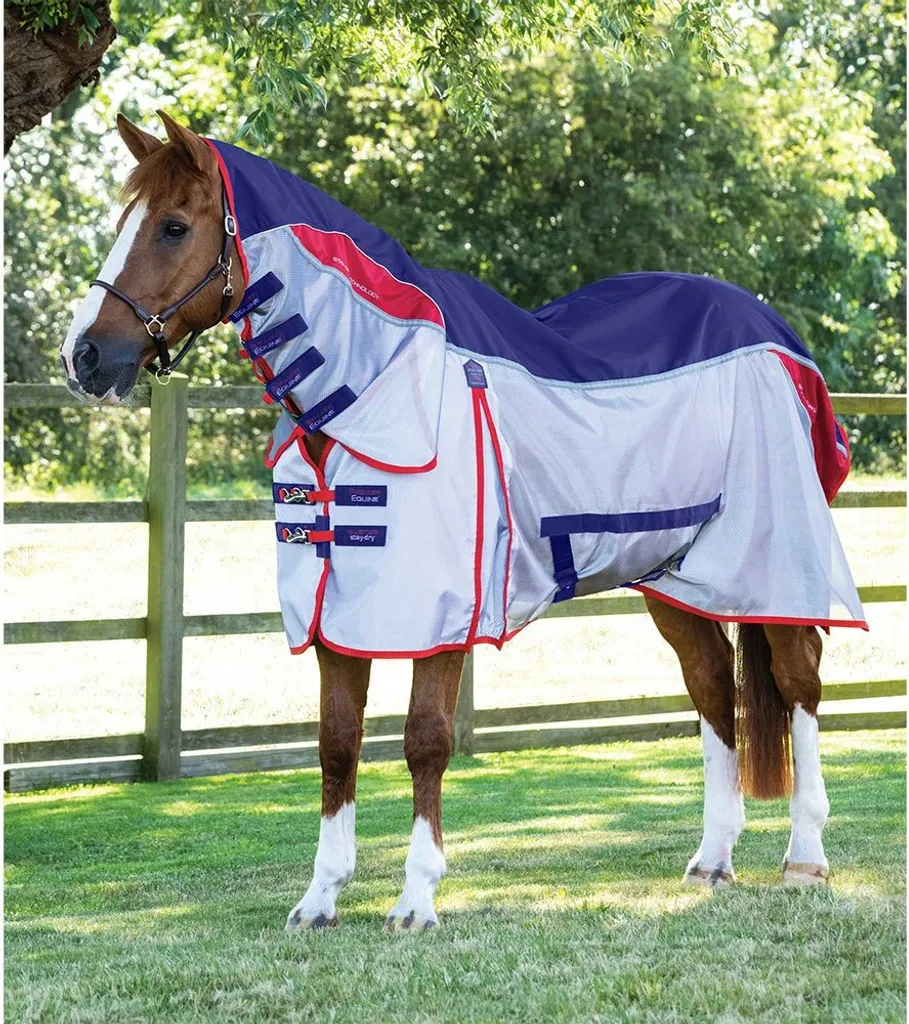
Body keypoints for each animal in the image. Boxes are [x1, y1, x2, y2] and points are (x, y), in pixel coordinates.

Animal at [60, 111, 865, 932]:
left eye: (173, 227)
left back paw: (805, 856)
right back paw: (713, 858)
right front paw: (319, 899)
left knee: (799, 680)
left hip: (774, 561)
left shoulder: (437, 618)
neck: (376, 382)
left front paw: (416, 898)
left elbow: (425, 741)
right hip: (674, 576)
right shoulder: (337, 615)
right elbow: (337, 744)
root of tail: (776, 333)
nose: (83, 356)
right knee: (710, 686)